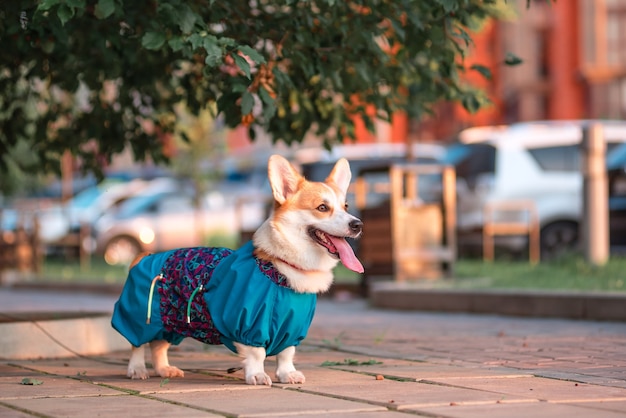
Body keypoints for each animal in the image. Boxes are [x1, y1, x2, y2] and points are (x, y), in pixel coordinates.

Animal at [112, 154, 364, 386]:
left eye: (346, 207)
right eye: (322, 208)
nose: (357, 224)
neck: (282, 268)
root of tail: (144, 256)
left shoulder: (293, 327)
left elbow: (286, 354)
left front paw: (287, 374)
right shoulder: (249, 323)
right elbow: (257, 354)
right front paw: (257, 375)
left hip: (172, 320)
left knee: (159, 345)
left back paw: (165, 369)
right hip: (142, 315)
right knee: (137, 343)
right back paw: (137, 369)